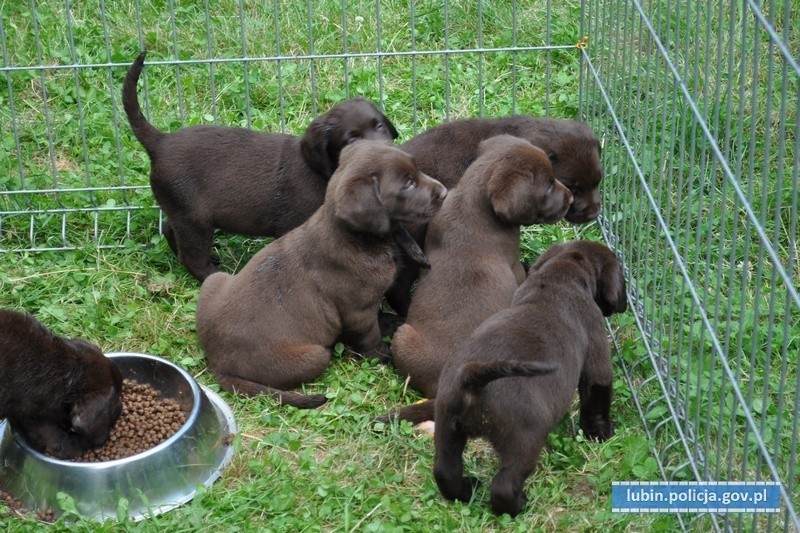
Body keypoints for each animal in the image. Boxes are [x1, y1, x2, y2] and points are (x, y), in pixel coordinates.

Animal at [193, 138, 444, 408]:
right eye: (407, 184)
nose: (444, 192)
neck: (356, 237)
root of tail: (218, 364)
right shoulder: (358, 310)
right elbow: (370, 336)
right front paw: (383, 355)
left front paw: (389, 322)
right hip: (315, 355)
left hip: (215, 279)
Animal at [434, 241, 628, 516]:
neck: (560, 276)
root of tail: (472, 382)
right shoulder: (596, 345)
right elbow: (596, 396)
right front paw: (600, 433)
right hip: (525, 441)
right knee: (503, 485)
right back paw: (517, 505)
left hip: (446, 427)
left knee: (445, 472)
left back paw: (466, 490)